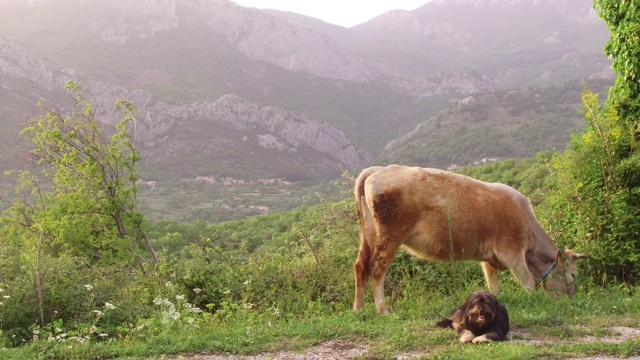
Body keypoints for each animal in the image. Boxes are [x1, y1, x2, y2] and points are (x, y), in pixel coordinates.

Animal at [352, 166, 588, 316]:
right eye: (573, 275)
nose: (572, 297)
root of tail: (378, 170)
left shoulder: (489, 259)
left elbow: (493, 287)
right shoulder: (512, 253)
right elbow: (528, 282)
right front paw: (537, 302)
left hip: (369, 235)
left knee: (360, 267)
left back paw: (358, 309)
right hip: (391, 235)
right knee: (377, 270)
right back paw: (383, 311)